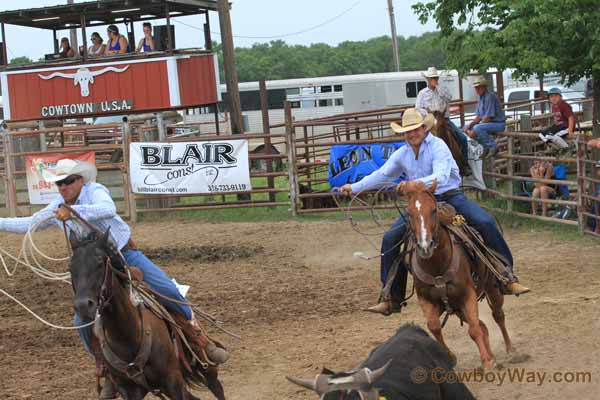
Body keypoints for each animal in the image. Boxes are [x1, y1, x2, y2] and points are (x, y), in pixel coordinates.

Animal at [69, 228, 225, 400]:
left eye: (100, 263)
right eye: (71, 268)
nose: (83, 305)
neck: (127, 335)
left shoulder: (173, 379)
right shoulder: (129, 389)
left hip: (205, 367)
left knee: (217, 387)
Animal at [400, 181, 512, 368]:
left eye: (433, 210)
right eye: (408, 213)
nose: (425, 246)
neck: (437, 267)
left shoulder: (467, 294)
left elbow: (474, 329)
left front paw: (487, 363)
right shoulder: (425, 299)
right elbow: (434, 326)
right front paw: (451, 357)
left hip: (491, 286)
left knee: (498, 315)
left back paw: (511, 351)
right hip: (458, 308)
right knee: (483, 325)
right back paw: (494, 357)